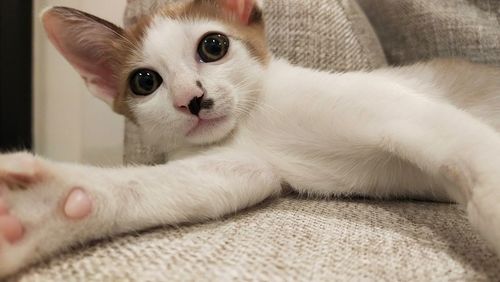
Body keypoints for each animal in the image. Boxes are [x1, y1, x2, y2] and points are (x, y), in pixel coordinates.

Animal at [0, 0, 500, 278]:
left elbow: (458, 141)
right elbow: (177, 187)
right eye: (144, 81)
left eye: (213, 46)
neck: (254, 121)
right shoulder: (247, 166)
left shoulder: (388, 105)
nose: (192, 99)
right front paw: (44, 208)